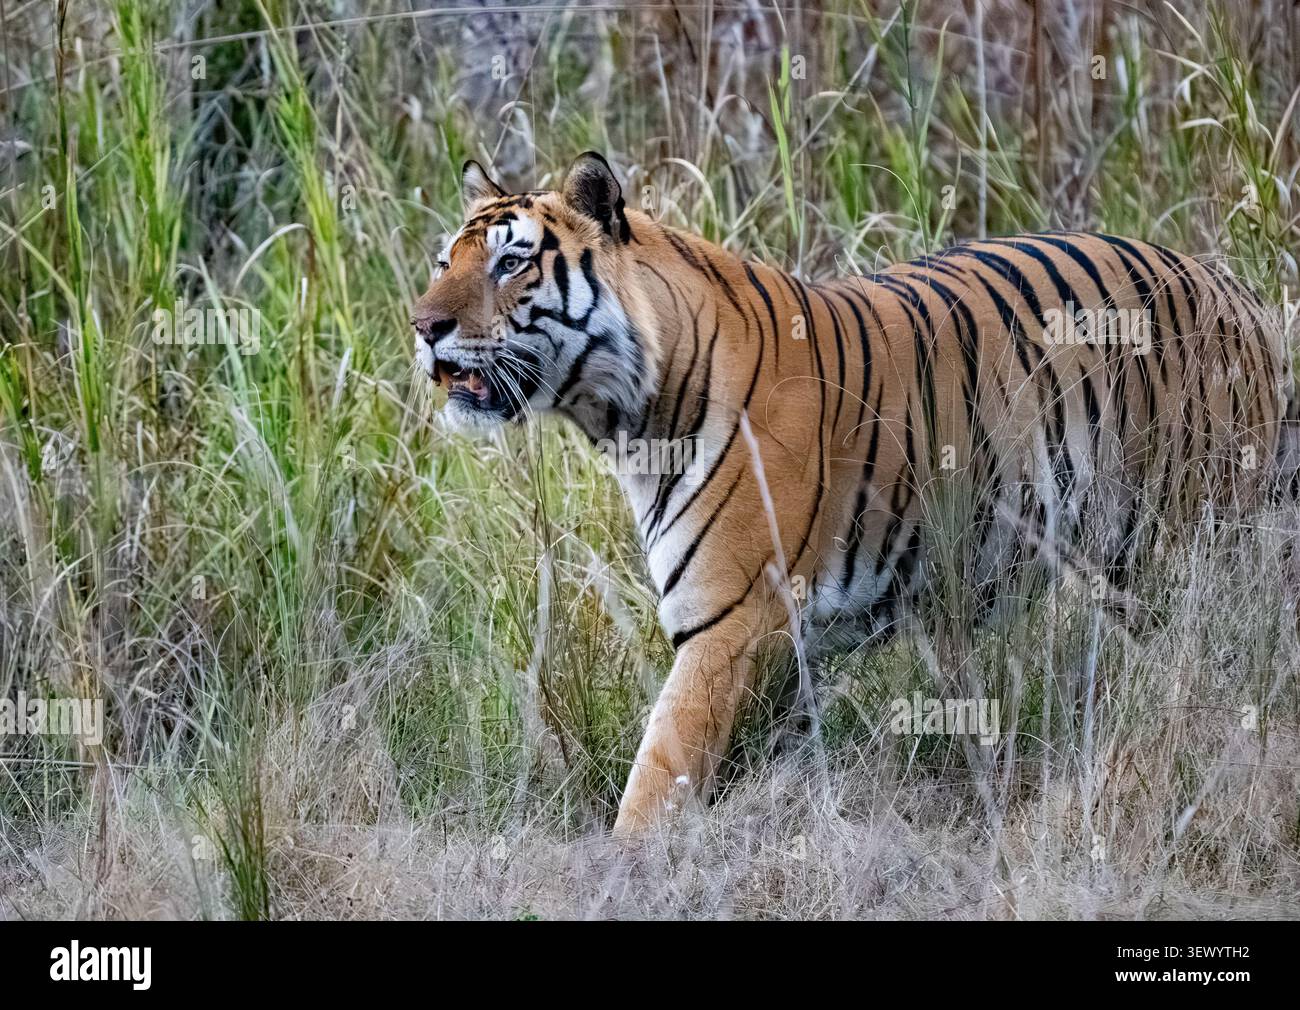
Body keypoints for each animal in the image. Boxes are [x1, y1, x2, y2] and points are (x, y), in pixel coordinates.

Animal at [411, 151, 1296, 835]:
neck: (627, 418)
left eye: (512, 262)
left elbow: (657, 779)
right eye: (444, 262)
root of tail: (1236, 293)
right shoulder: (787, 650)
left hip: (1196, 547)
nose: (422, 327)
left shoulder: (727, 624)